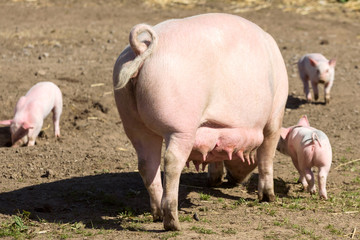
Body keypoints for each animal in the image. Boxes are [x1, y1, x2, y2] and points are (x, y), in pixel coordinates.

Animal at [114, 13, 288, 231]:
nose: (235, 180)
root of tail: (142, 48)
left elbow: (216, 153)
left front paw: (214, 180)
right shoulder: (275, 114)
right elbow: (267, 154)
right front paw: (268, 198)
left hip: (133, 123)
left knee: (146, 164)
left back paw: (157, 215)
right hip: (180, 126)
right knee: (171, 161)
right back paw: (173, 223)